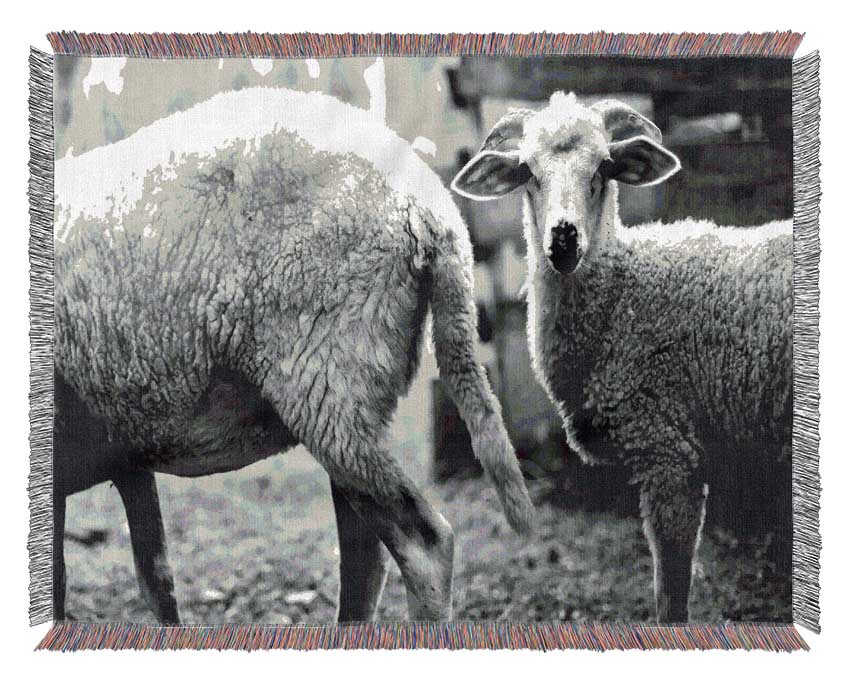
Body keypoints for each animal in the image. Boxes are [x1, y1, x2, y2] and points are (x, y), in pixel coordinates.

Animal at [53, 85, 534, 623]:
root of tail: (432, 211)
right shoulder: (127, 449)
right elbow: (157, 581)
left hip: (329, 384)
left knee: (423, 546)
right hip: (351, 402)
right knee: (364, 563)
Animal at [451, 91, 792, 623]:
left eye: (603, 168)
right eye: (528, 171)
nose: (563, 239)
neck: (621, 295)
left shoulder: (667, 449)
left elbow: (670, 593)